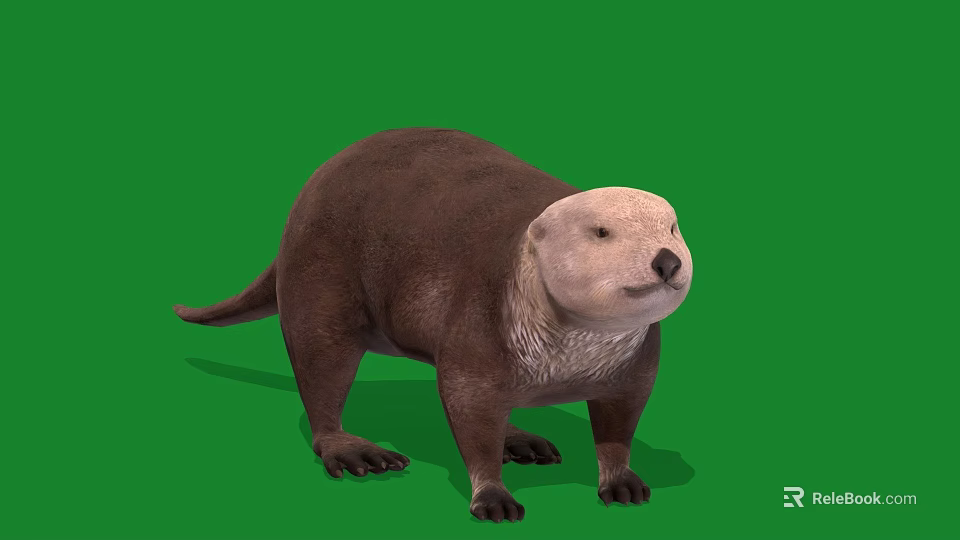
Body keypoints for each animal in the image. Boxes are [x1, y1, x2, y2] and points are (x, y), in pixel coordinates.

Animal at [173, 128, 693, 522]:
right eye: (602, 232)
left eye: (672, 227)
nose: (667, 260)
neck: (569, 362)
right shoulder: (480, 321)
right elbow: (469, 414)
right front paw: (493, 497)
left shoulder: (636, 366)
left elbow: (619, 425)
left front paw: (622, 481)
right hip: (318, 278)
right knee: (320, 372)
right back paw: (356, 451)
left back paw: (521, 439)